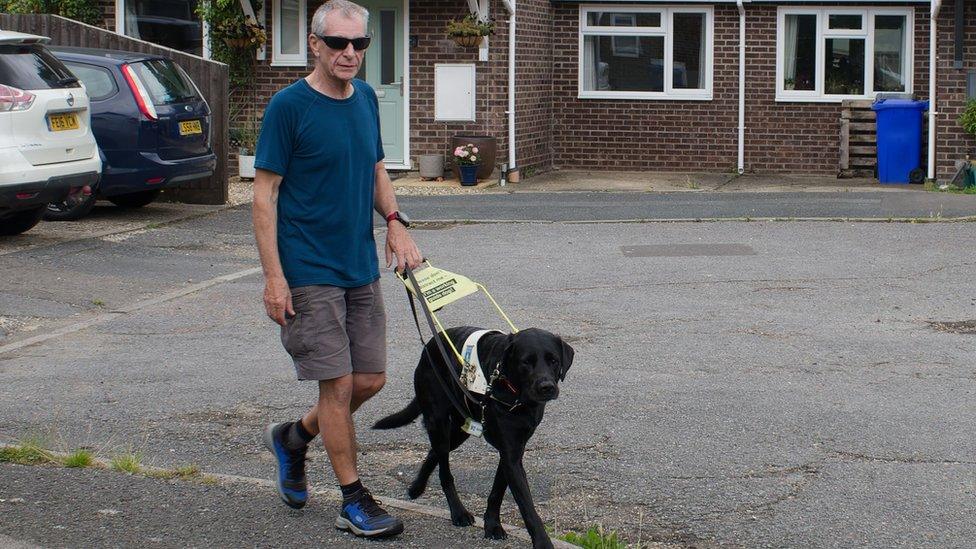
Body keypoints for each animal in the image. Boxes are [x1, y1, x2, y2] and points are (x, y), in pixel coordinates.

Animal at [372, 328, 572, 544]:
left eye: (553, 360)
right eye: (526, 362)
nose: (546, 387)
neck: (516, 395)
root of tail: (430, 346)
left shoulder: (513, 450)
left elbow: (497, 492)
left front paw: (492, 524)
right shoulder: (510, 455)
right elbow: (527, 507)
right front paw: (542, 541)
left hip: (460, 429)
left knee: (434, 452)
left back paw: (417, 487)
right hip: (438, 422)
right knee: (444, 472)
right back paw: (458, 512)